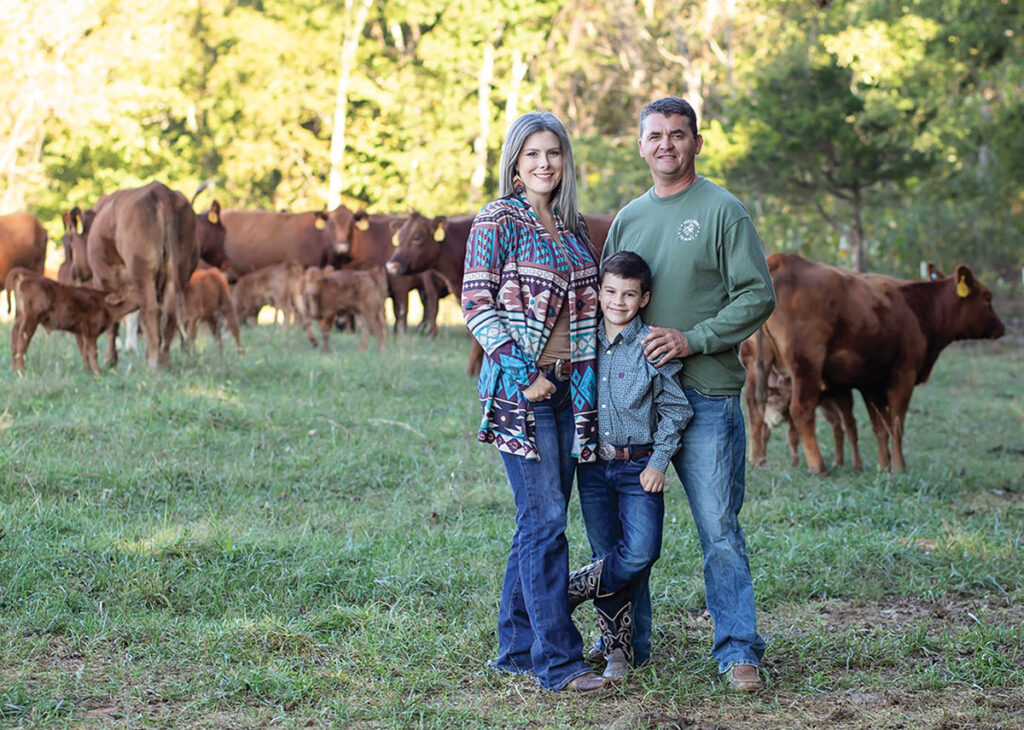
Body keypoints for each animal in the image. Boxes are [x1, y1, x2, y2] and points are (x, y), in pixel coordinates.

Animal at [6, 264, 139, 372]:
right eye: (132, 290)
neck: (104, 304)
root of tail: (26, 275)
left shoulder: (80, 332)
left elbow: (83, 352)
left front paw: (88, 371)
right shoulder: (91, 332)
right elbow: (92, 352)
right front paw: (98, 373)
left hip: (19, 317)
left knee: (13, 338)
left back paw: (13, 369)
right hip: (31, 319)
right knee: (22, 340)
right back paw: (21, 371)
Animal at [62, 179, 197, 366]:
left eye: (72, 240)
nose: (74, 272)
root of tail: (161, 191)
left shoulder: (104, 279)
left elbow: (113, 319)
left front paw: (110, 360)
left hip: (143, 272)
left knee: (152, 311)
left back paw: (153, 364)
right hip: (179, 272)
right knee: (168, 314)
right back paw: (163, 361)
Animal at [765, 255, 1003, 473]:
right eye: (987, 297)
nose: (1001, 328)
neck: (915, 309)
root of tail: (782, 260)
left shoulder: (871, 384)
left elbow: (881, 426)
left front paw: (883, 464)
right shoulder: (903, 376)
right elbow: (896, 425)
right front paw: (898, 467)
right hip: (806, 365)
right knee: (801, 410)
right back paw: (818, 466)